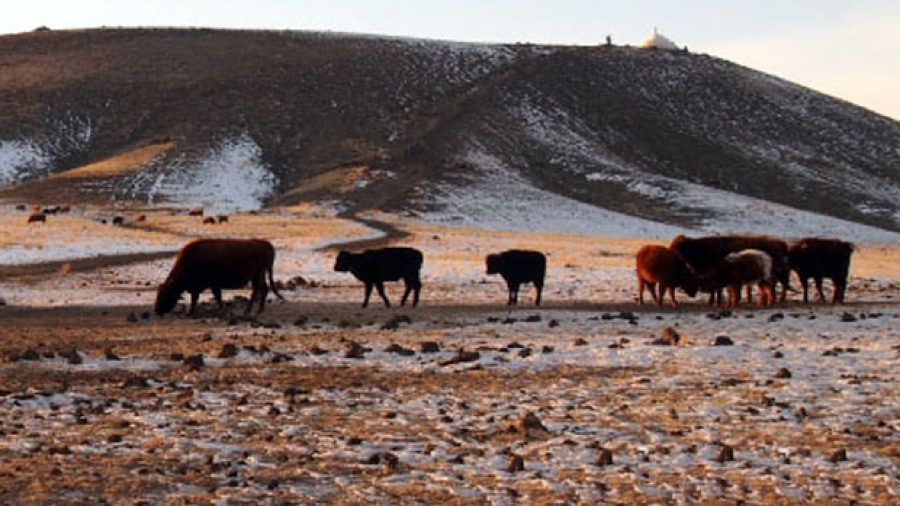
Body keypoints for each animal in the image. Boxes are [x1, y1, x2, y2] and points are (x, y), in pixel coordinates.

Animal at [153, 237, 284, 316]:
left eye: (164, 294)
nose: (157, 310)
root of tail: (266, 244)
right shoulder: (209, 286)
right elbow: (207, 297)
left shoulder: (211, 285)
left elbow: (211, 297)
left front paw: (191, 312)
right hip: (256, 276)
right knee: (260, 289)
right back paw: (254, 310)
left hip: (258, 275)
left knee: (261, 290)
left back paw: (253, 310)